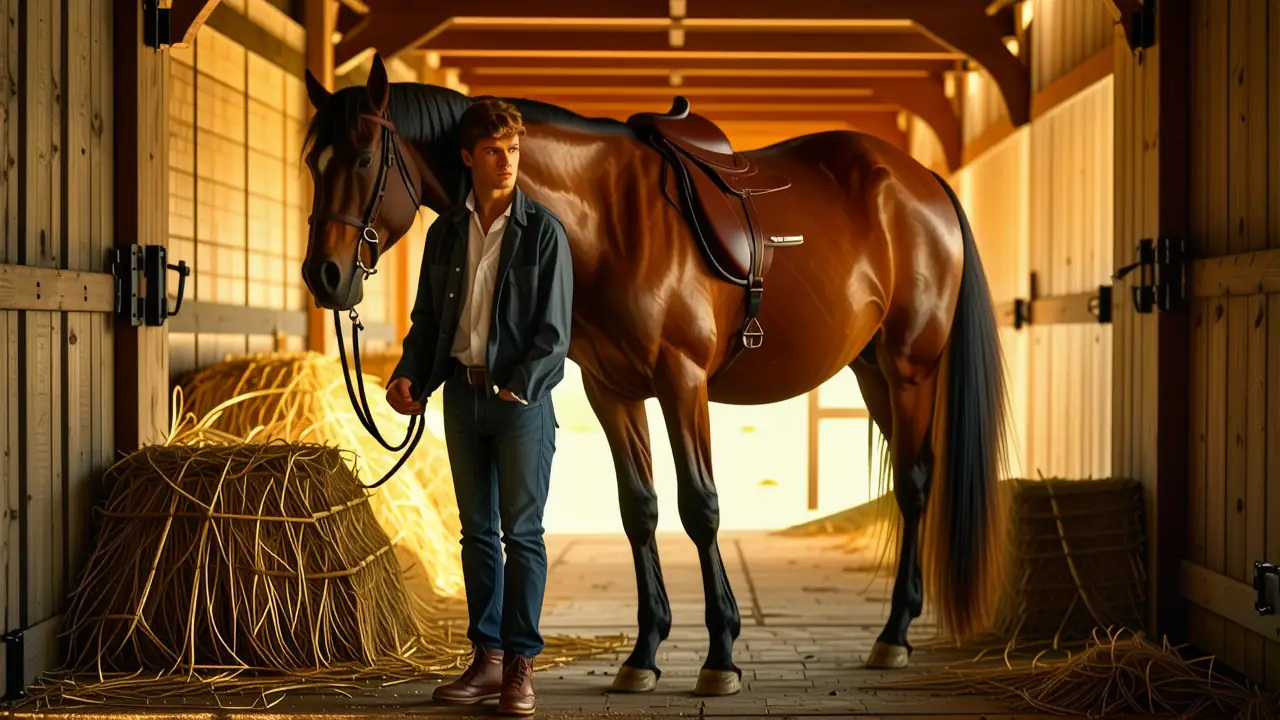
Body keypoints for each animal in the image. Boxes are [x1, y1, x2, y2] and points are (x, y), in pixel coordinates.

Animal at [299, 53, 1010, 696]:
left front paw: (721, 655)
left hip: (910, 368)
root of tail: (922, 181)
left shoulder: (682, 384)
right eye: (312, 163)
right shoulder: (613, 391)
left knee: (915, 486)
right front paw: (643, 654)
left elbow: (701, 509)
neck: (610, 218)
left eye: (362, 159)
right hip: (872, 373)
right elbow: (638, 510)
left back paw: (894, 636)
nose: (323, 276)